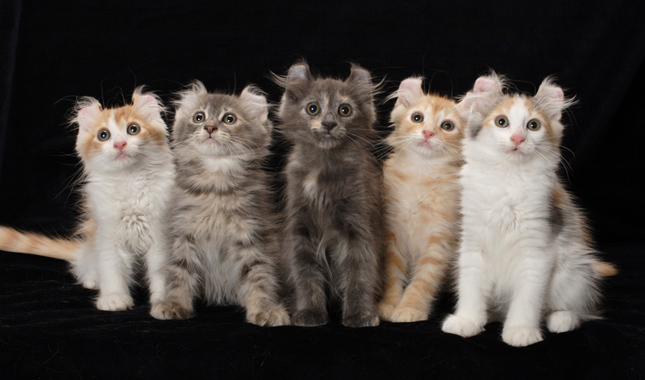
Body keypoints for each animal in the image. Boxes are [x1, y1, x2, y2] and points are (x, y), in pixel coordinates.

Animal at [0, 87, 176, 310]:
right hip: (92, 246)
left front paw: (163, 301)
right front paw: (114, 299)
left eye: (133, 129)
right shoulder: (108, 234)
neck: (129, 181)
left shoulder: (160, 235)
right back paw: (93, 280)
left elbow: (160, 270)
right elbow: (112, 269)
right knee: (86, 268)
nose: (120, 144)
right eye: (104, 135)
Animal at [148, 81, 290, 326]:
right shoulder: (183, 233)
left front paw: (264, 308)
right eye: (199, 117)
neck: (216, 188)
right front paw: (175, 304)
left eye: (229, 119)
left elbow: (259, 274)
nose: (210, 128)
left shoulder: (252, 234)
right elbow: (179, 271)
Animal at [276, 61, 384, 326]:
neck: (323, 169)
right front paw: (310, 312)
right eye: (312, 108)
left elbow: (359, 274)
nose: (328, 123)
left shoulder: (359, 227)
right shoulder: (299, 230)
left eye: (345, 110)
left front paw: (359, 314)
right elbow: (305, 274)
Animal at [374, 78, 466, 324]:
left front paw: (410, 308)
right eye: (417, 117)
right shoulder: (392, 235)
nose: (427, 132)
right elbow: (391, 275)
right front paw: (388, 304)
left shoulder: (440, 239)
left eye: (447, 126)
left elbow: (424, 280)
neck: (421, 174)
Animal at [440, 73, 616, 348]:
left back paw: (561, 319)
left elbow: (527, 299)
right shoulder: (473, 246)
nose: (518, 139)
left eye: (533, 125)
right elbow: (470, 288)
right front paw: (467, 320)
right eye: (502, 122)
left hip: (573, 273)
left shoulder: (537, 253)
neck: (507, 178)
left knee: (581, 309)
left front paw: (521, 331)